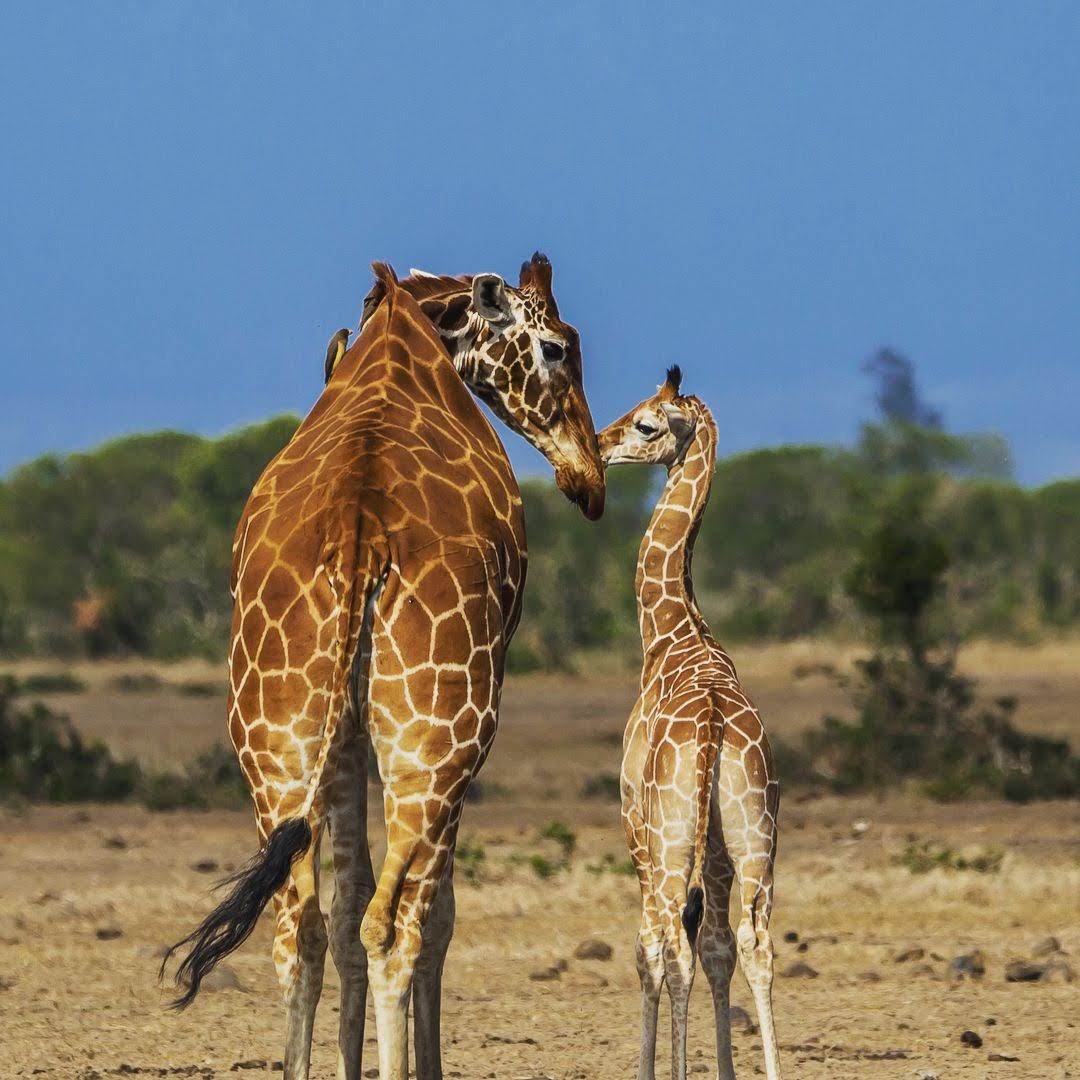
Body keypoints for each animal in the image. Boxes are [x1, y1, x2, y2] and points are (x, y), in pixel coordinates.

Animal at [161, 253, 605, 1080]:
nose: (589, 479)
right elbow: (435, 915)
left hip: (275, 736)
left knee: (302, 925)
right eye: (559, 346)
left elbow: (340, 914)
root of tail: (359, 536)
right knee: (398, 923)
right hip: (441, 734)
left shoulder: (340, 739)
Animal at [598, 366, 782, 1080]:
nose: (599, 444)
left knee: (669, 942)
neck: (672, 631)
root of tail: (710, 727)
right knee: (754, 942)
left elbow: (648, 949)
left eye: (647, 423)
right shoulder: (721, 848)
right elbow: (719, 950)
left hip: (669, 837)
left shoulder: (633, 823)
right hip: (752, 830)